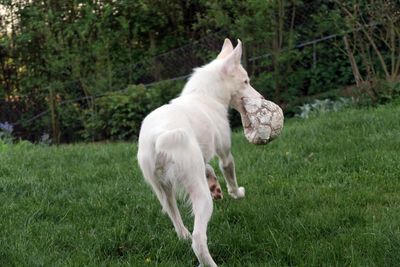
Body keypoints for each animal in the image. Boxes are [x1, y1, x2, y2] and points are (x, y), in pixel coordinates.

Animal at [138, 38, 262, 266]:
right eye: (246, 82)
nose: (261, 98)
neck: (205, 96)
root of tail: (158, 136)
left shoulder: (200, 158)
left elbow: (208, 167)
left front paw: (215, 184)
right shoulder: (225, 154)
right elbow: (230, 177)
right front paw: (237, 193)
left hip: (164, 190)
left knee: (176, 220)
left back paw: (183, 234)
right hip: (200, 196)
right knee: (198, 240)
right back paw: (209, 261)